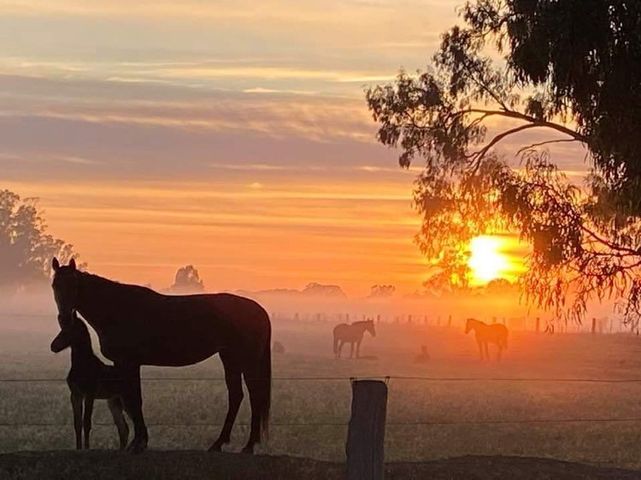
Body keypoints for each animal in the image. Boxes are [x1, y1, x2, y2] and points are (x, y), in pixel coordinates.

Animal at [50, 312, 129, 450]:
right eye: (61, 329)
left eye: (68, 330)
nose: (53, 346)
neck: (83, 364)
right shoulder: (75, 395)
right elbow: (77, 423)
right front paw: (78, 448)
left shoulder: (89, 395)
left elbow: (86, 422)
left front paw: (87, 448)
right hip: (113, 402)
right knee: (123, 428)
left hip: (124, 401)